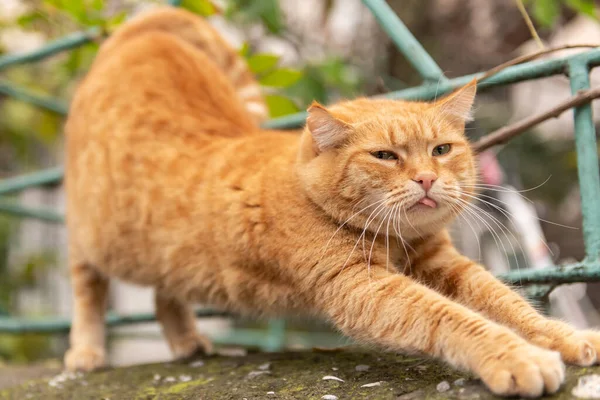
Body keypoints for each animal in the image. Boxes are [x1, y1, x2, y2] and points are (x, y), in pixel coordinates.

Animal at [64, 6, 600, 396]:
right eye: (385, 156)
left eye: (441, 150)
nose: (427, 179)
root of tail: (143, 33)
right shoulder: (361, 286)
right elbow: (449, 317)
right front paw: (517, 356)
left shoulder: (444, 263)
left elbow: (507, 305)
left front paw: (564, 338)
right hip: (91, 237)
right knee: (89, 289)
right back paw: (86, 353)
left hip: (168, 256)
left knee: (164, 290)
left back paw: (186, 341)